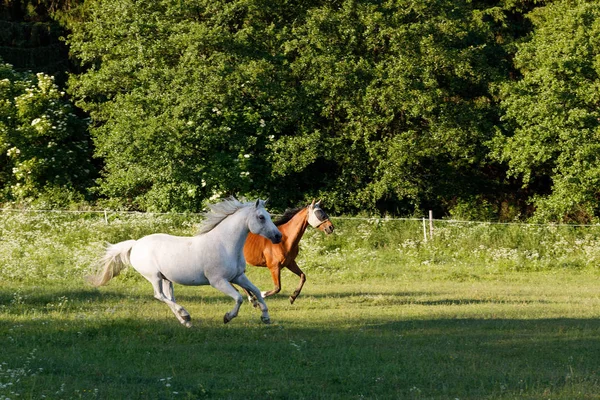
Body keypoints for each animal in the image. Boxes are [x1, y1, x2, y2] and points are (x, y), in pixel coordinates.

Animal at [88, 198, 282, 326]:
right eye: (261, 217)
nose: (278, 236)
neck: (225, 244)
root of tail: (135, 244)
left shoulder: (238, 276)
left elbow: (256, 291)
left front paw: (265, 317)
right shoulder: (218, 281)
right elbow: (239, 298)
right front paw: (227, 317)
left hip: (166, 279)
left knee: (168, 297)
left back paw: (185, 320)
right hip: (154, 277)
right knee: (159, 296)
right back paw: (185, 315)